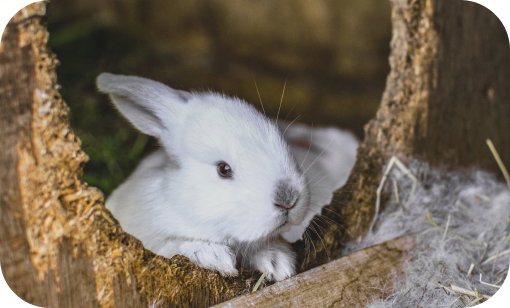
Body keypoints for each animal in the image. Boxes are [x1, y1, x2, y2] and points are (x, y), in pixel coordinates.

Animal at [96, 73, 358, 282]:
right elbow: (173, 245)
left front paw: (278, 264)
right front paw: (216, 258)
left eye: (282, 141)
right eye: (223, 169)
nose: (289, 200)